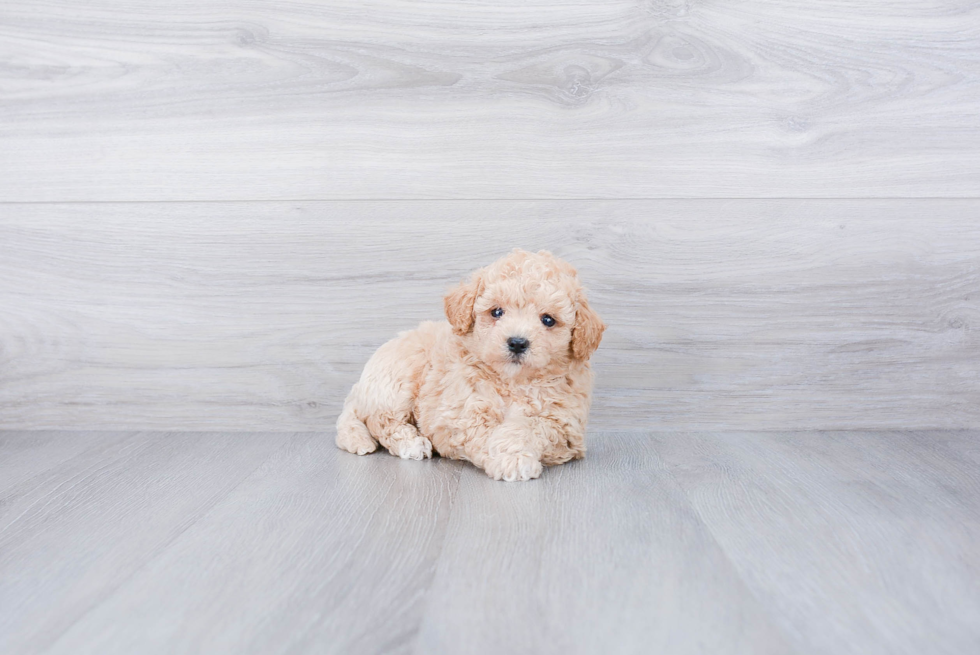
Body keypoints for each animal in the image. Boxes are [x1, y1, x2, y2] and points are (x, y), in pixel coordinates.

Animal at [334, 247, 600, 482]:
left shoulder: (565, 426)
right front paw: (510, 460)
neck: (514, 382)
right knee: (380, 420)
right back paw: (411, 442)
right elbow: (485, 433)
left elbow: (527, 427)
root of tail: (359, 388)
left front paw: (513, 456)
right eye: (496, 312)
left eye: (548, 320)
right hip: (399, 377)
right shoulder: (462, 414)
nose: (517, 343)